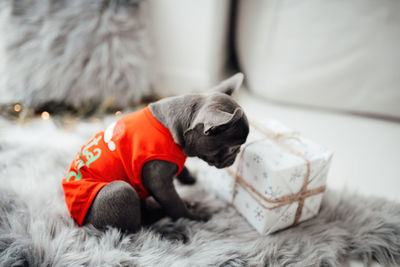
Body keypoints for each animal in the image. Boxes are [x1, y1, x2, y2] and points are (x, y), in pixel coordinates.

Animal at [61, 73, 250, 232]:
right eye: (234, 149)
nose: (235, 157)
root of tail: (77, 219)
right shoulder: (160, 184)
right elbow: (175, 205)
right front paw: (194, 218)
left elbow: (183, 170)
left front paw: (189, 179)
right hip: (121, 192)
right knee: (134, 227)